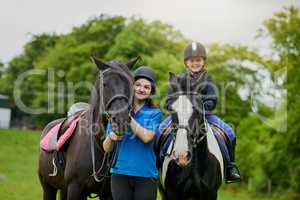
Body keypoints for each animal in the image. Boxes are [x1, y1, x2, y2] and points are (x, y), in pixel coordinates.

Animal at [37, 56, 139, 200]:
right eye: (105, 84)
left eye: (131, 83)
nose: (121, 120)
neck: (98, 144)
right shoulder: (75, 188)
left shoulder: (108, 193)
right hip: (48, 187)